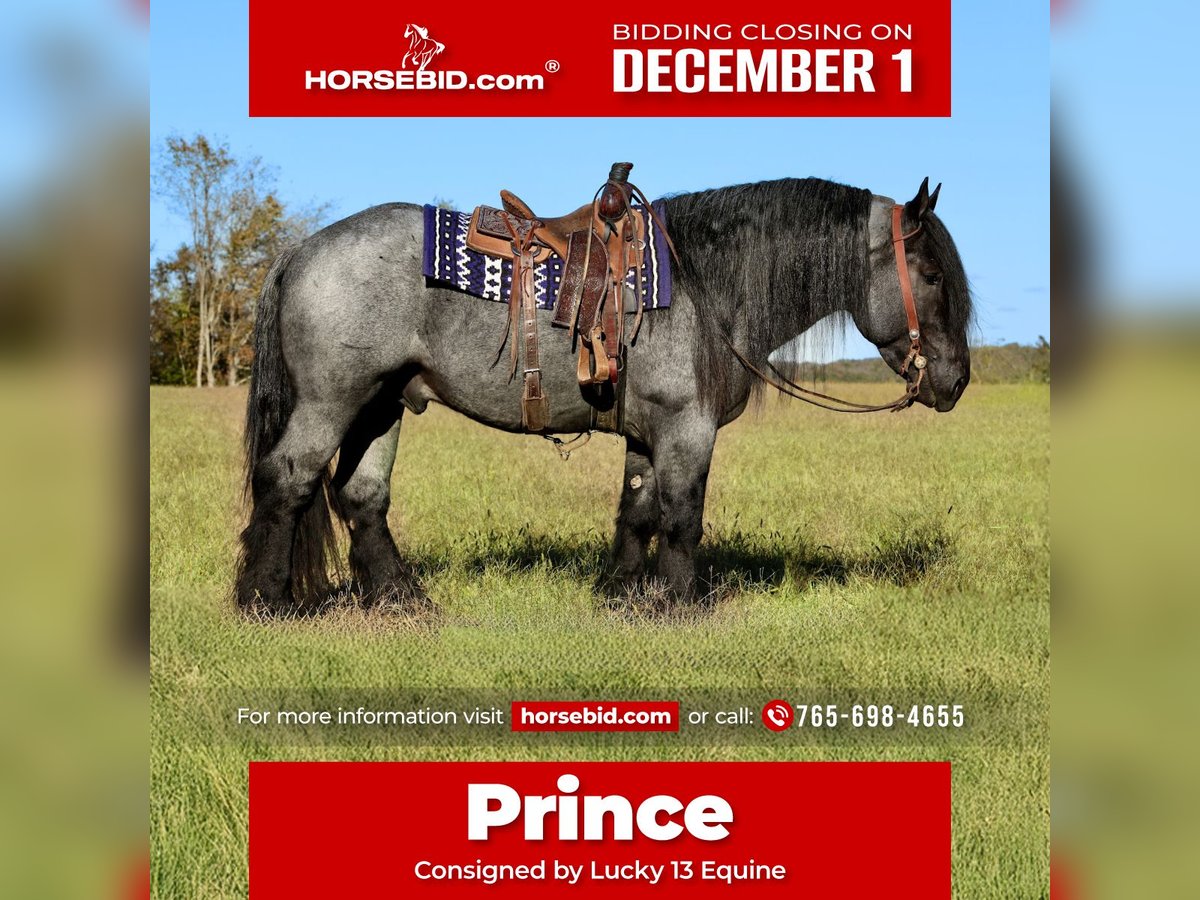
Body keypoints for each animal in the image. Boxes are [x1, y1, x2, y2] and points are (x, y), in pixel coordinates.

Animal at [235, 176, 972, 612]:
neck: (704, 284)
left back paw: (400, 598)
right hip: (332, 402)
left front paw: (621, 594)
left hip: (381, 403)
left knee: (361, 494)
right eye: (933, 274)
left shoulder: (649, 432)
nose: (955, 379)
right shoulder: (686, 429)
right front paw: (677, 603)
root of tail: (300, 249)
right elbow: (682, 515)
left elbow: (637, 510)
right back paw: (267, 601)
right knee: (288, 480)